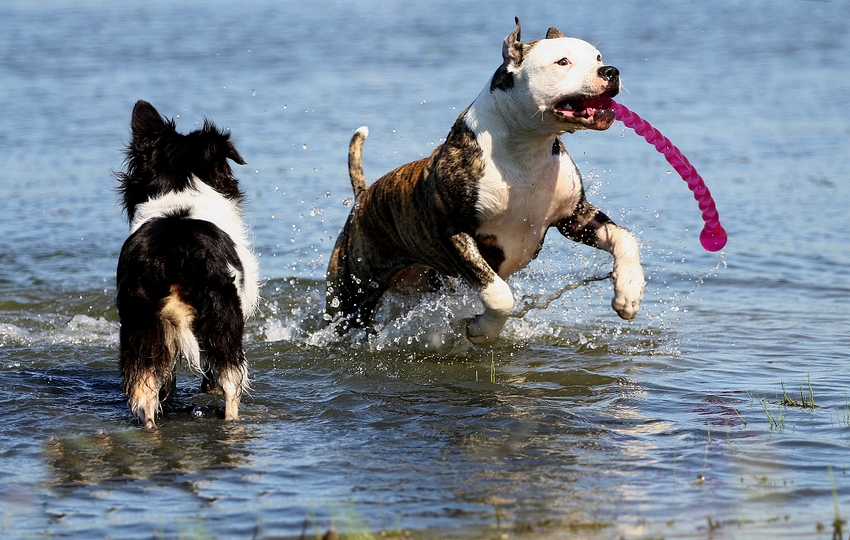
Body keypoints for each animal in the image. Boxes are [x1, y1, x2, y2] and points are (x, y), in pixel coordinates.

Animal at [115, 100, 259, 428]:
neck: (181, 188)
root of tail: (174, 256)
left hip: (139, 326)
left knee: (144, 393)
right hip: (224, 317)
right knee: (231, 384)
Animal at [327, 19, 645, 344]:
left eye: (598, 57)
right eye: (563, 62)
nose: (611, 71)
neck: (527, 147)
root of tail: (363, 197)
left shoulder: (574, 216)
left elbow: (624, 238)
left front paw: (629, 293)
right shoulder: (454, 232)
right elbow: (499, 294)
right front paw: (481, 330)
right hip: (353, 295)